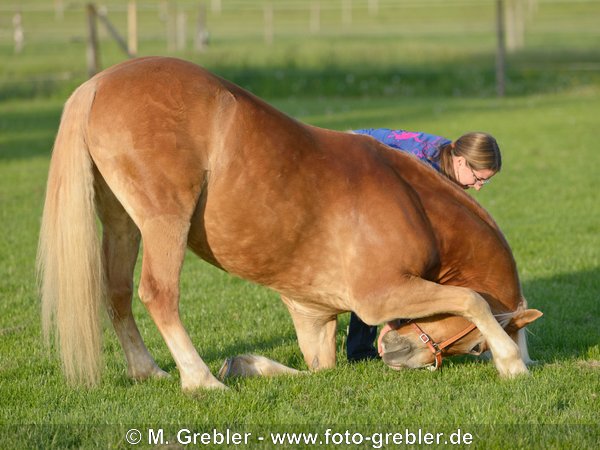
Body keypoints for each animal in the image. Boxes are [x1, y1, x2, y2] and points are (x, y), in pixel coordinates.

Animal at [37, 57, 544, 390]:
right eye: (475, 349)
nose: (396, 356)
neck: (414, 202)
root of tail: (98, 83)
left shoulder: (312, 315)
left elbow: (317, 369)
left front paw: (246, 366)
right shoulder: (380, 296)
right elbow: (471, 299)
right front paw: (511, 363)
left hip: (122, 222)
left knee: (117, 292)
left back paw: (149, 371)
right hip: (164, 222)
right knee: (158, 294)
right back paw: (201, 380)